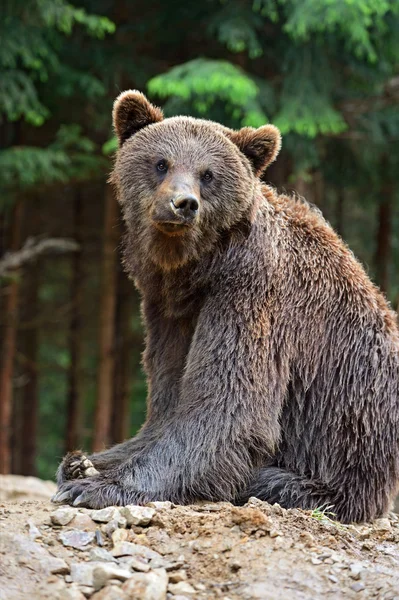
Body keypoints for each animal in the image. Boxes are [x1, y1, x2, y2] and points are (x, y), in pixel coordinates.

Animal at [54, 90, 399, 524]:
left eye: (208, 174)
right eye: (161, 163)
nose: (183, 204)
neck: (197, 269)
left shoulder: (251, 292)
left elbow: (228, 404)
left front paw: (97, 485)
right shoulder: (170, 313)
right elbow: (167, 399)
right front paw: (82, 463)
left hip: (352, 430)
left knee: (288, 480)